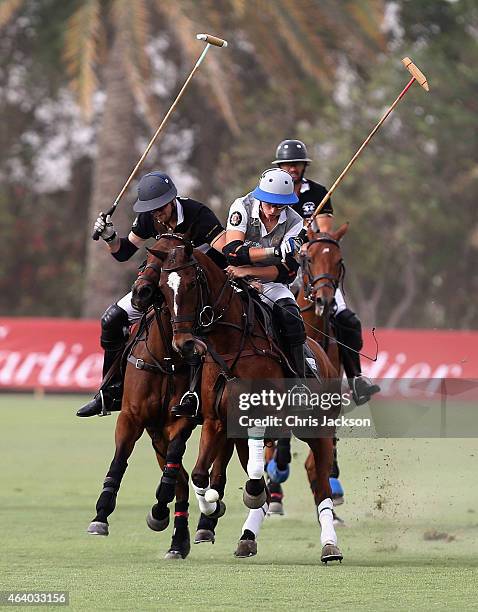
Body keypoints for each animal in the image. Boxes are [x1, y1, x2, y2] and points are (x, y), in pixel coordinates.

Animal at [155, 234, 346, 564]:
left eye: (191, 284)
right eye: (165, 288)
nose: (183, 343)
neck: (230, 345)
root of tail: (321, 353)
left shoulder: (262, 416)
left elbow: (257, 478)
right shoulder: (216, 422)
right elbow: (200, 475)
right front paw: (213, 507)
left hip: (318, 430)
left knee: (320, 485)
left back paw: (329, 545)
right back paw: (247, 537)